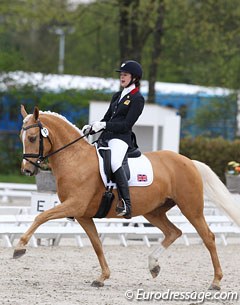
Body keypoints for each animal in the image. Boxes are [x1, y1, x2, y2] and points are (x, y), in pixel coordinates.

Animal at [15, 105, 240, 288]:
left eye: (33, 138)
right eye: (21, 138)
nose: (26, 170)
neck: (75, 159)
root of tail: (189, 161)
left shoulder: (74, 205)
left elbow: (41, 216)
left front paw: (19, 247)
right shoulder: (82, 215)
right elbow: (96, 244)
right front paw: (102, 277)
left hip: (191, 208)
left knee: (208, 237)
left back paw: (216, 282)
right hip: (154, 212)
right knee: (173, 232)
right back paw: (153, 265)